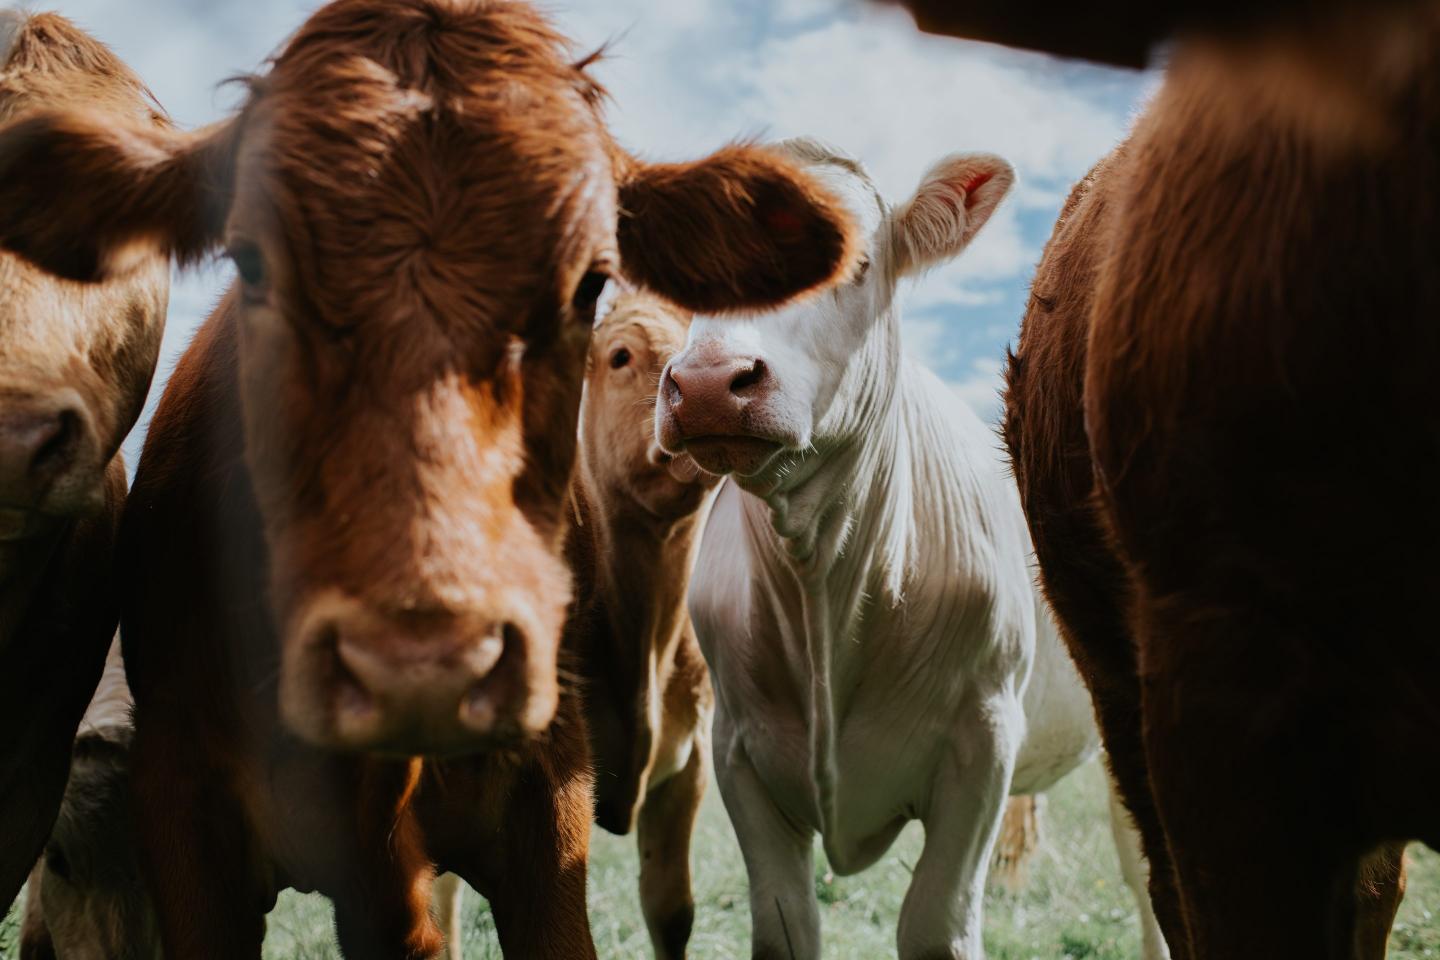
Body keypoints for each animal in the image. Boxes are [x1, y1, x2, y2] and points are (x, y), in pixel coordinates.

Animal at [655, 137, 1167, 960]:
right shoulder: (738, 751)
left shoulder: (983, 743)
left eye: (855, 260)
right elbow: (785, 924)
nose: (705, 383)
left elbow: (935, 924)